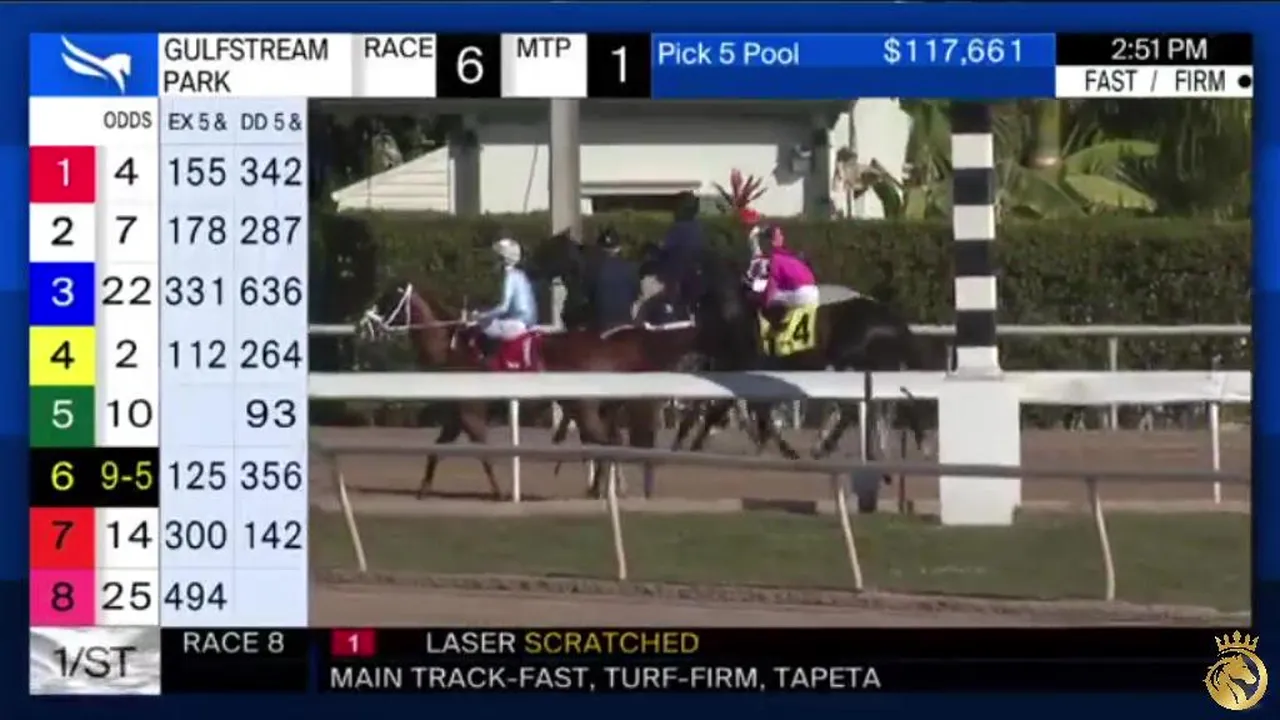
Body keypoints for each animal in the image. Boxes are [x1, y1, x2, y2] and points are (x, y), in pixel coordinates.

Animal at [686, 246, 930, 461]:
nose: (692, 313)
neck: (738, 315)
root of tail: (892, 319)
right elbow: (743, 409)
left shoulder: (746, 367)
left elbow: (735, 409)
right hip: (873, 366)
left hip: (849, 363)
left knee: (849, 409)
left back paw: (826, 447)